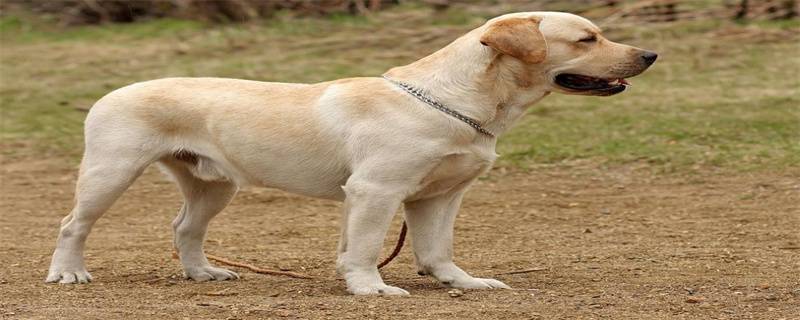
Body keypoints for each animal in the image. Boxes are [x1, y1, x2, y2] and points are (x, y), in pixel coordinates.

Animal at [45, 11, 656, 296]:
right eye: (587, 39)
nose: (650, 55)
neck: (461, 101)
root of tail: (111, 91)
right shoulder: (375, 191)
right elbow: (363, 247)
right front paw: (371, 289)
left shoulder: (440, 198)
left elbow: (437, 250)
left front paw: (463, 283)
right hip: (110, 172)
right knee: (72, 224)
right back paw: (68, 274)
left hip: (214, 185)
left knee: (184, 229)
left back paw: (204, 274)